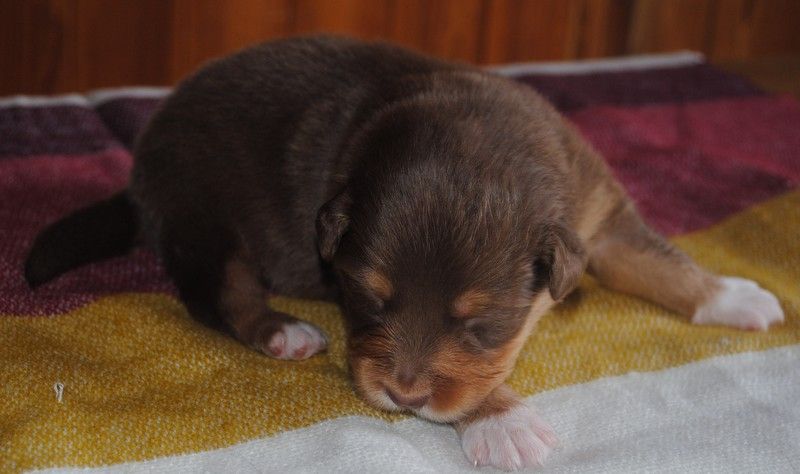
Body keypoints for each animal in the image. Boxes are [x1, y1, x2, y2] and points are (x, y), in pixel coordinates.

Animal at [25, 36, 784, 470]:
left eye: (480, 323)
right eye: (366, 301)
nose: (402, 396)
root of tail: (138, 175)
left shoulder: (604, 215)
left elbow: (661, 261)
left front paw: (730, 294)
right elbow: (470, 383)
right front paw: (502, 422)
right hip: (205, 218)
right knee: (223, 296)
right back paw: (283, 331)